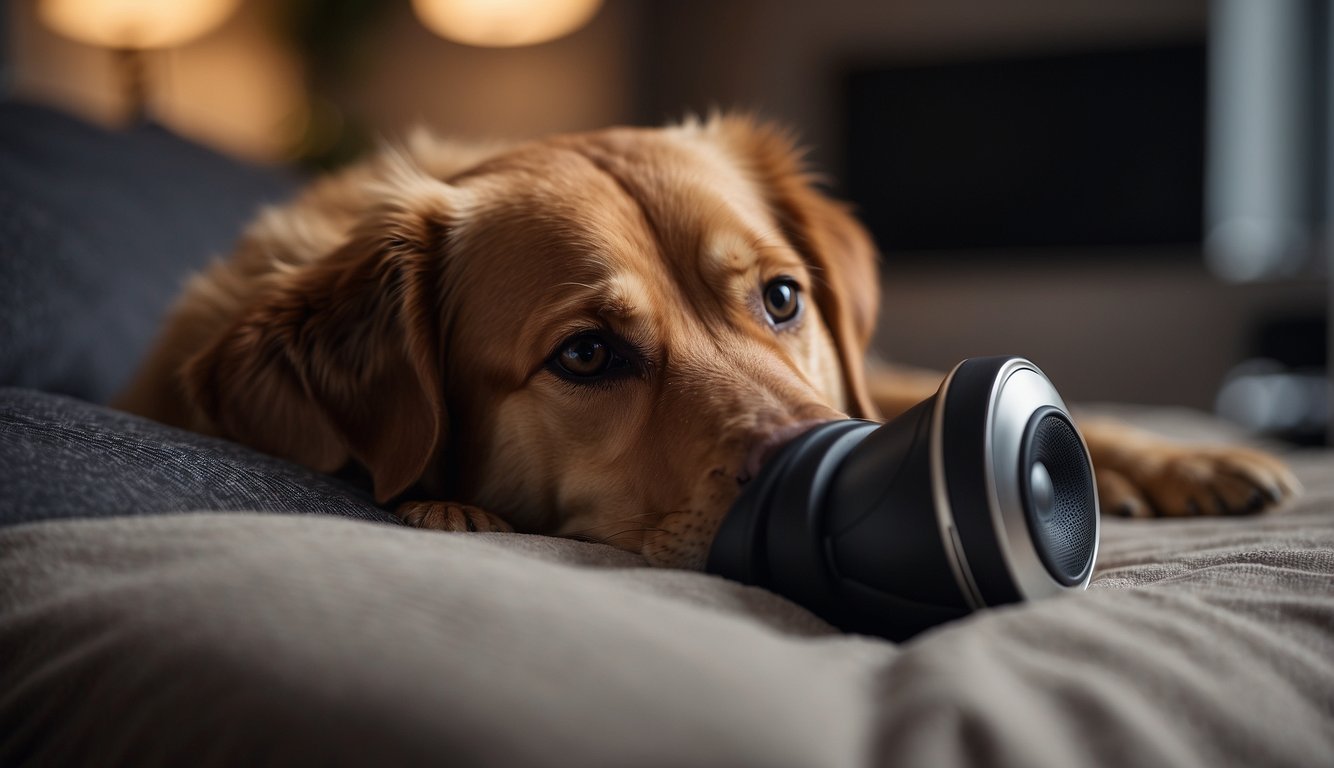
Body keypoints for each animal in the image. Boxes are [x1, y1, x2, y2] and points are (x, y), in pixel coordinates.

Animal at [117, 115, 1301, 570]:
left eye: (780, 298)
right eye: (585, 356)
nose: (813, 462)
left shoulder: (861, 371)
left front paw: (1180, 459)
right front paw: (448, 508)